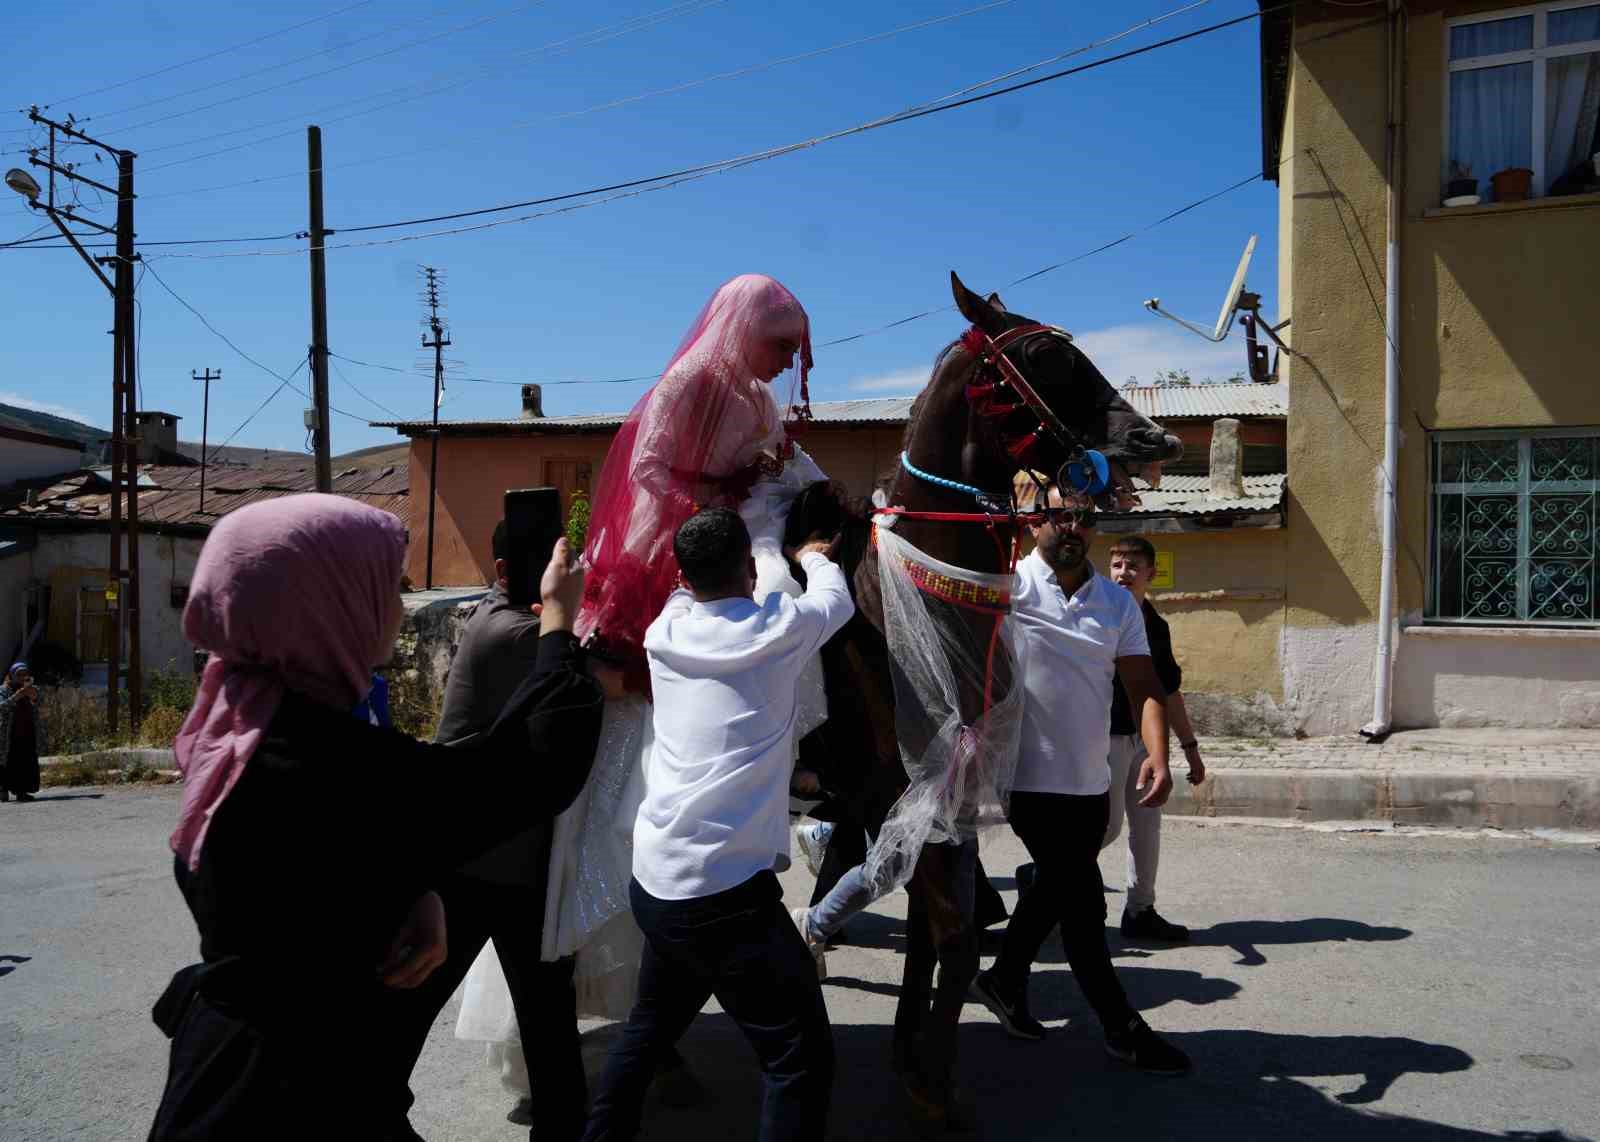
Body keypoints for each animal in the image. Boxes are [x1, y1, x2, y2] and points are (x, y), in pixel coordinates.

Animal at [790, 268, 1190, 1132]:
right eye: (1045, 356)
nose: (1157, 440)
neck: (901, 599)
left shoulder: (934, 791)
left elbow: (938, 931)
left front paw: (915, 1065)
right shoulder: (902, 787)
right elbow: (953, 932)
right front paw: (936, 1087)